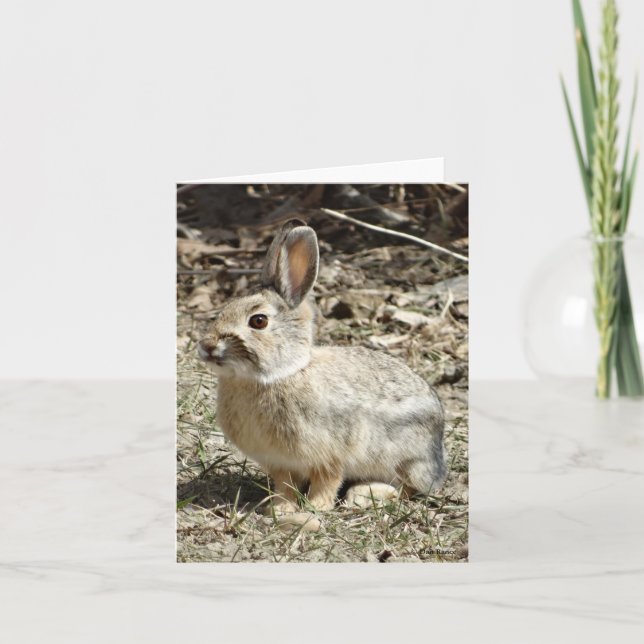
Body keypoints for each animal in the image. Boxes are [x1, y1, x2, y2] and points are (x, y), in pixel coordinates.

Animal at [198, 219, 446, 513]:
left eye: (258, 321)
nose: (207, 346)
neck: (279, 375)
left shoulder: (331, 455)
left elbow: (327, 480)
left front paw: (316, 507)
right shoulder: (280, 462)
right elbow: (285, 485)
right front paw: (279, 508)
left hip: (406, 458)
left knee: (409, 488)